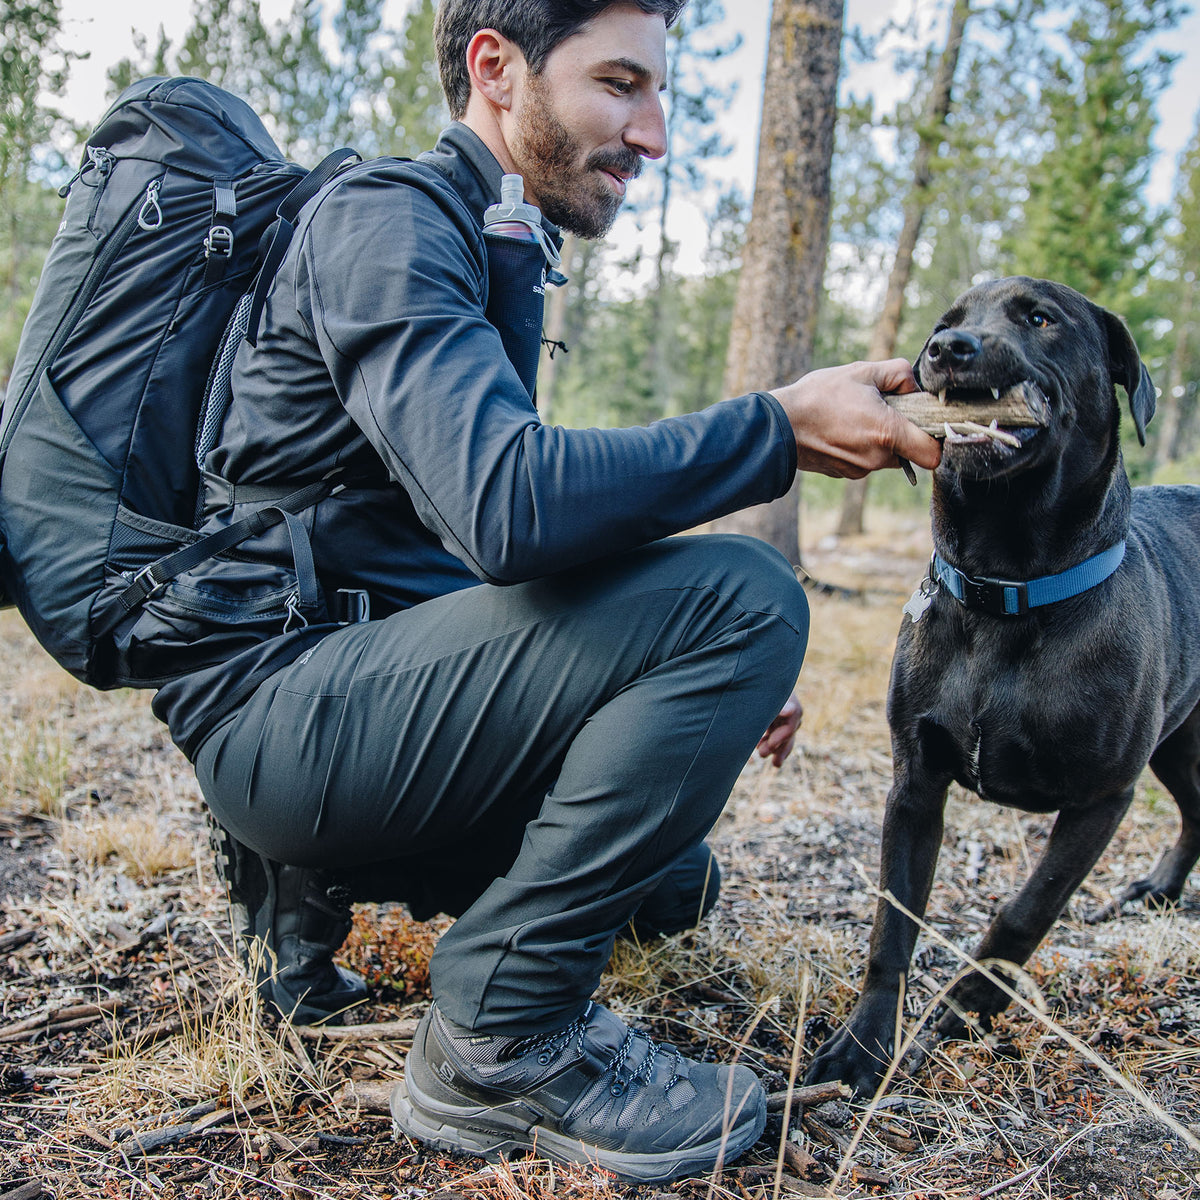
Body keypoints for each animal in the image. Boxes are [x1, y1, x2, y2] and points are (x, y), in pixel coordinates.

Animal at [806, 274, 1200, 1099]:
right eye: (946, 321)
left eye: (1041, 318)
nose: (946, 350)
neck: (1008, 590)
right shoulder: (914, 784)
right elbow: (893, 924)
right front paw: (864, 1044)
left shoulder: (1101, 801)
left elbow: (1023, 914)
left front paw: (965, 1008)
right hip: (1178, 744)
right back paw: (1160, 889)